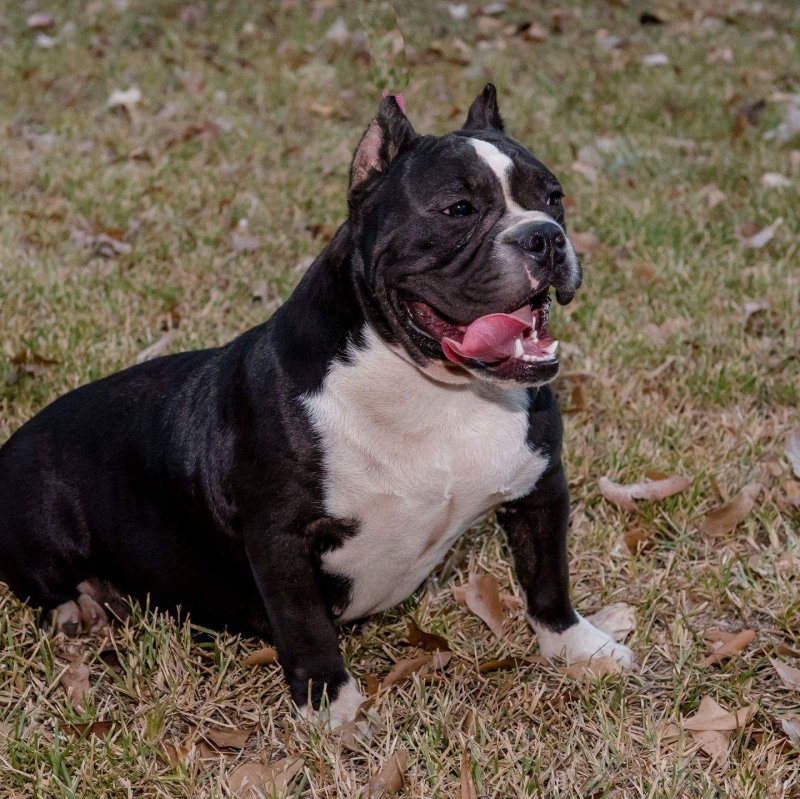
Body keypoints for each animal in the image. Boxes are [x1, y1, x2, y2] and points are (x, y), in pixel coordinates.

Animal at [1, 86, 636, 724]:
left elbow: (548, 577)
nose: (545, 236)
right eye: (458, 209)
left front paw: (579, 645)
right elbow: (304, 623)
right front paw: (331, 702)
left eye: (554, 199)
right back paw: (77, 608)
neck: (436, 390)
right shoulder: (281, 536)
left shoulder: (540, 489)